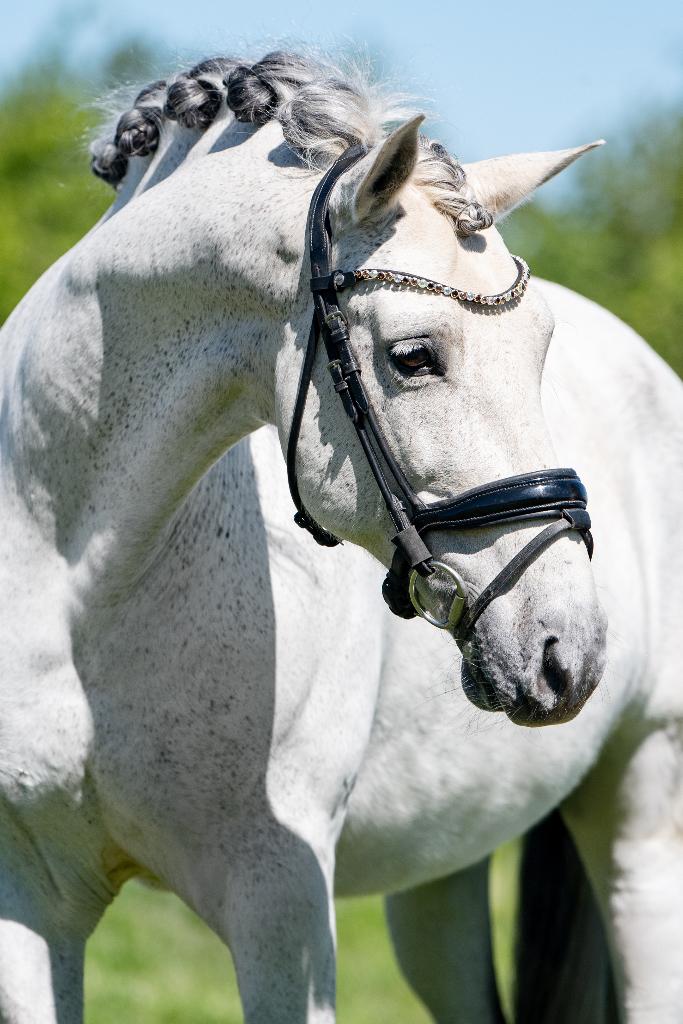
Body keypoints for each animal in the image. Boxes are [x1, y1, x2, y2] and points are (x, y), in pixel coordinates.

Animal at [1, 50, 681, 1023]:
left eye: (541, 346)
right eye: (413, 356)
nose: (568, 651)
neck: (77, 585)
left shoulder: (279, 899)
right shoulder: (30, 903)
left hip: (641, 822)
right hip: (440, 873)